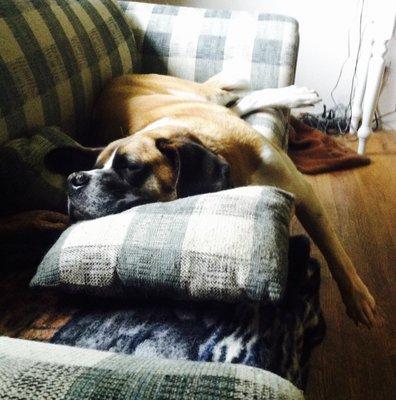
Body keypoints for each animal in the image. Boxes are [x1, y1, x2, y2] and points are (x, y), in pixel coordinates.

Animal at [46, 71, 378, 328]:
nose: (75, 179)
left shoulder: (305, 195)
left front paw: (356, 296)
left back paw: (297, 95)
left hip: (202, 94)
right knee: (240, 102)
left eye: (131, 167)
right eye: (96, 166)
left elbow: (334, 249)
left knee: (238, 95)